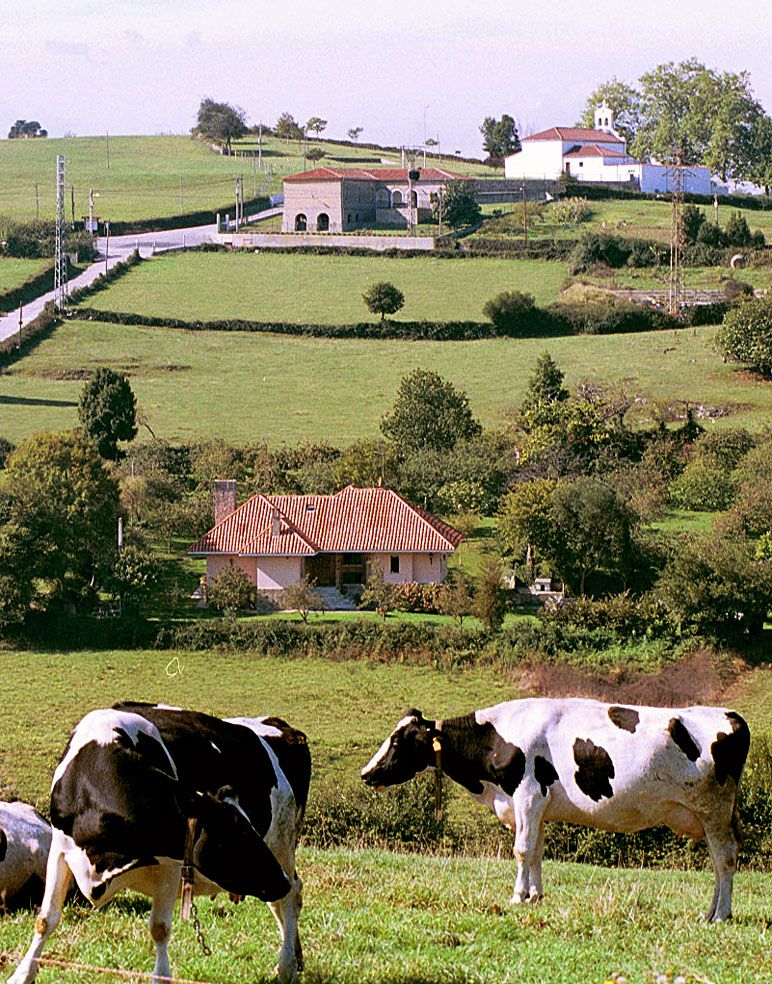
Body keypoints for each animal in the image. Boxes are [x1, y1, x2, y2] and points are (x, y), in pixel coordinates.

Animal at [9, 700, 310, 984]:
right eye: (235, 838)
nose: (279, 880)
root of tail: (280, 725)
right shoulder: (60, 849)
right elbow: (46, 918)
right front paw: (21, 974)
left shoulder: (170, 865)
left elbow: (160, 928)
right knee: (280, 900)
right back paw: (294, 959)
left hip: (282, 843)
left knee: (291, 896)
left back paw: (286, 965)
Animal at [364, 696, 752, 920]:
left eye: (397, 741)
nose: (366, 773)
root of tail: (730, 716)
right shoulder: (538, 806)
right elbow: (536, 851)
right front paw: (535, 895)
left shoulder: (526, 795)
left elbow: (521, 850)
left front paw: (517, 896)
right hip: (710, 815)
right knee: (718, 861)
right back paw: (709, 912)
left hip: (715, 809)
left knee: (725, 858)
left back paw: (722, 915)